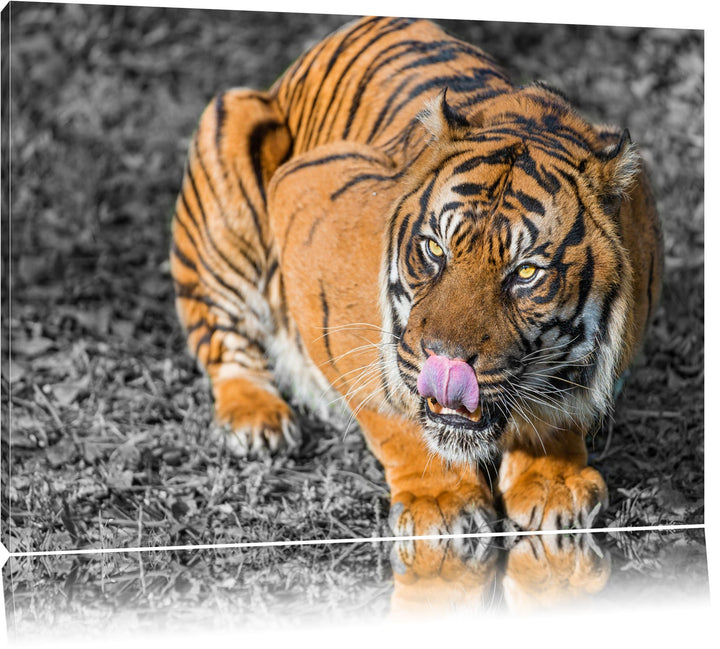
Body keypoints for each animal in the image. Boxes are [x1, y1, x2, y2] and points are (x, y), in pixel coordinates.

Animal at [170, 15, 663, 538]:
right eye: (434, 249)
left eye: (526, 272)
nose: (445, 364)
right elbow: (392, 408)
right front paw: (442, 500)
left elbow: (558, 413)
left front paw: (553, 484)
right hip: (228, 151)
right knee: (222, 337)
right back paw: (257, 420)